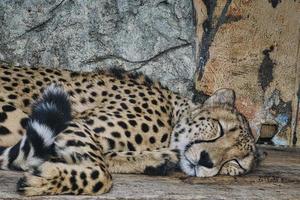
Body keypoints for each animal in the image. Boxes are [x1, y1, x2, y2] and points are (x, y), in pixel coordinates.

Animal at [0, 63, 258, 195]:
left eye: (235, 163)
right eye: (220, 128)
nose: (206, 160)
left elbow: (106, 158)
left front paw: (157, 161)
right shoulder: (73, 121)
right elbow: (102, 174)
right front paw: (46, 178)